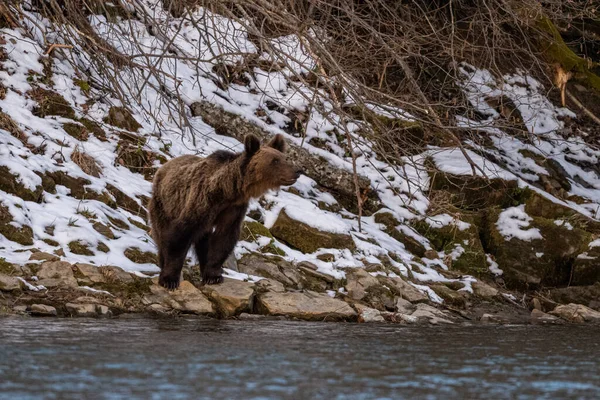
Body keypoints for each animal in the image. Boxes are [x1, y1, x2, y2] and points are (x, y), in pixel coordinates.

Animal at [149, 134, 298, 288]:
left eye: (285, 158)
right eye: (275, 160)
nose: (297, 171)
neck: (228, 191)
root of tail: (164, 166)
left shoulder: (234, 209)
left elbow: (224, 239)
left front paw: (213, 276)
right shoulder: (202, 202)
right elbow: (181, 236)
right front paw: (169, 279)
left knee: (203, 240)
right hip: (164, 204)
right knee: (162, 234)